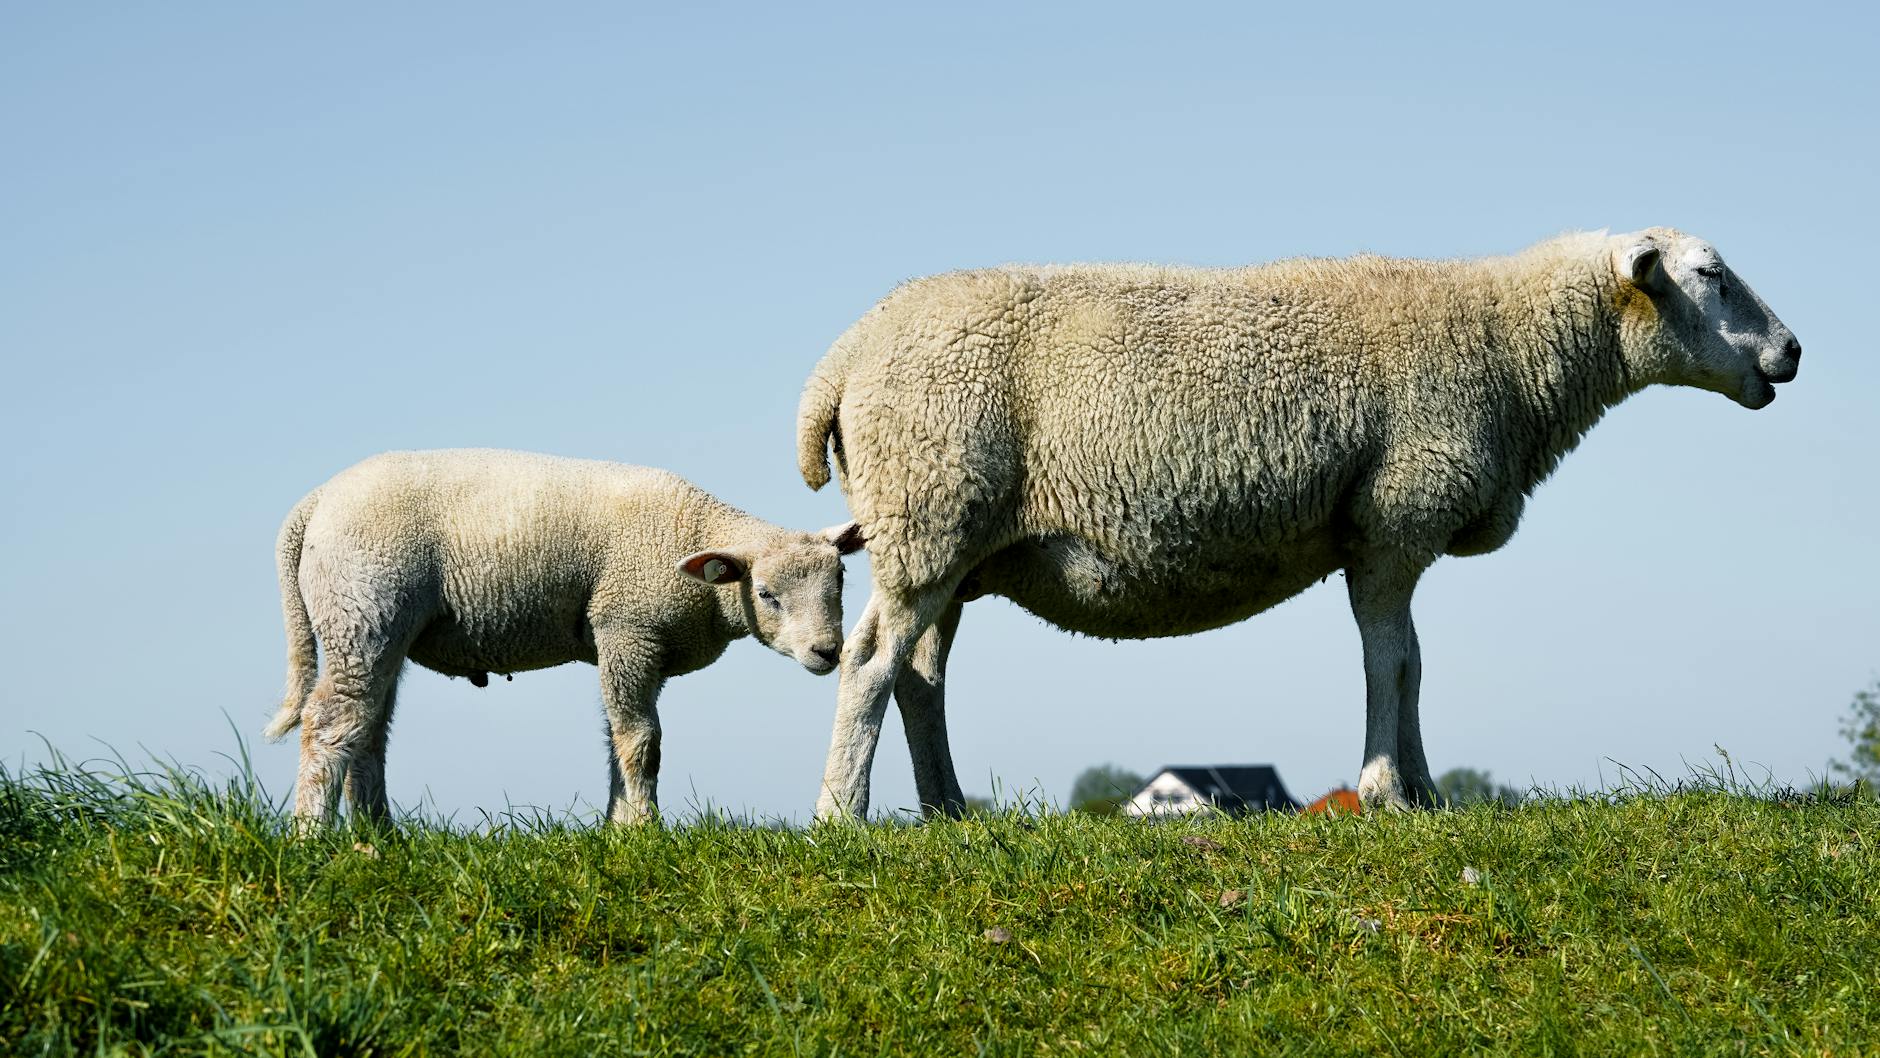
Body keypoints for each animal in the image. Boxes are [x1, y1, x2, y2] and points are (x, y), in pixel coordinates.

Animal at [265, 448, 864, 826]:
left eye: (840, 579)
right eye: (766, 594)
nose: (826, 651)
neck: (691, 538)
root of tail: (315, 503)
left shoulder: (631, 645)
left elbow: (617, 740)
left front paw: (616, 828)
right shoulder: (627, 628)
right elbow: (641, 742)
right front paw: (644, 831)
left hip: (377, 631)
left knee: (368, 730)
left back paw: (376, 840)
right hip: (363, 609)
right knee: (331, 724)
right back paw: (312, 838)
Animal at [796, 228, 1802, 818]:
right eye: (1711, 275)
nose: (1793, 350)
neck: (1509, 349)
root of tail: (844, 357)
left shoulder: (1387, 537)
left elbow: (1413, 663)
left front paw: (1425, 793)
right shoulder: (1395, 517)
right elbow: (1390, 662)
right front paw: (1387, 792)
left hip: (949, 544)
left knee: (921, 676)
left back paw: (949, 813)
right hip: (929, 512)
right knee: (873, 661)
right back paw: (843, 814)